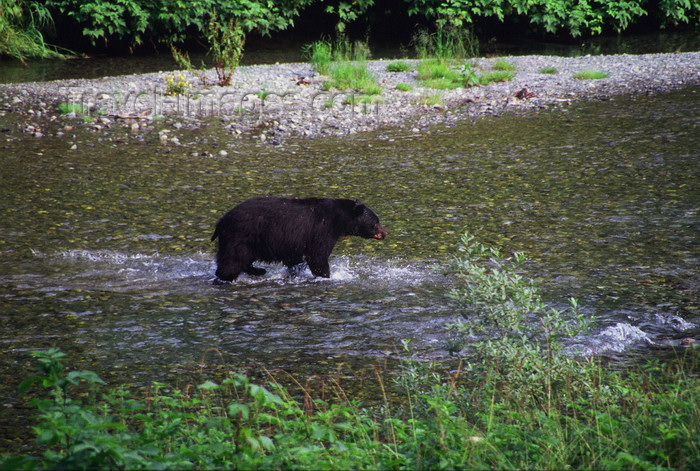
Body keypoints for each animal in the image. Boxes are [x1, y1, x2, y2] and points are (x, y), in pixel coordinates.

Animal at [212, 197, 388, 282]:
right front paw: (325, 276)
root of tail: (221, 221)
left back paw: (259, 270)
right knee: (232, 261)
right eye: (376, 222)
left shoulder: (292, 242)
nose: (385, 233)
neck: (340, 218)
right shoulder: (321, 228)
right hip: (240, 236)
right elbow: (318, 256)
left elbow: (294, 258)